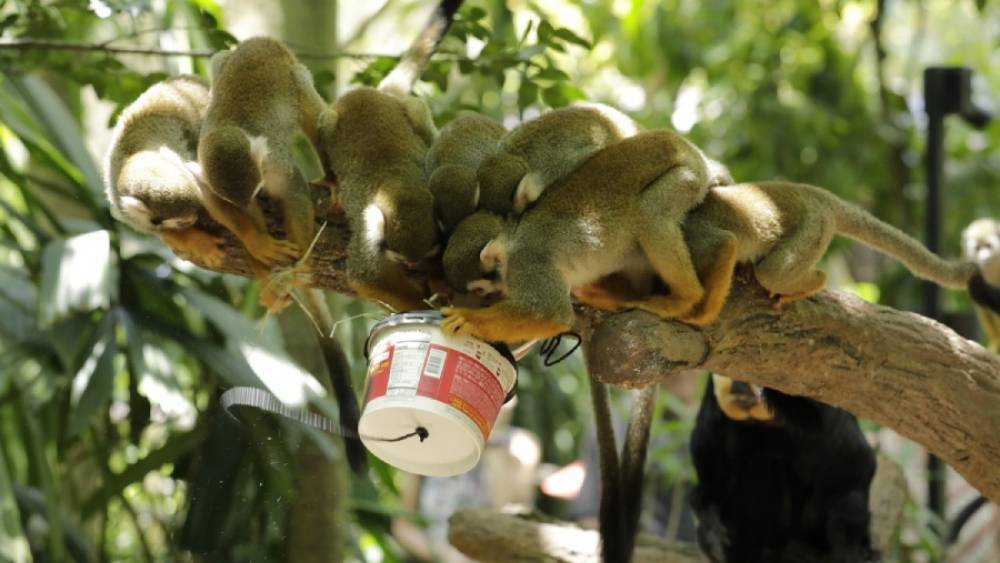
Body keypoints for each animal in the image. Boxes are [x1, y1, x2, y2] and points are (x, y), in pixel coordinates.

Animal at [197, 36, 327, 268]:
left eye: (256, 191)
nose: (248, 206)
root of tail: (261, 41)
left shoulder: (273, 160)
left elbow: (293, 188)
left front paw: (303, 264)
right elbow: (211, 198)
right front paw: (256, 242)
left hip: (295, 74)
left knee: (310, 104)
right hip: (225, 60)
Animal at [316, 0, 464, 312]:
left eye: (425, 257)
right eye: (404, 260)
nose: (415, 266)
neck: (399, 182)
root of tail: (372, 92)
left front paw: (439, 282)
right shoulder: (368, 223)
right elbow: (367, 277)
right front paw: (423, 306)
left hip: (407, 110)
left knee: (416, 109)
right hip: (332, 119)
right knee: (325, 122)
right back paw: (332, 180)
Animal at [441, 129, 717, 343]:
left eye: (479, 290)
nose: (490, 296)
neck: (511, 237)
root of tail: (688, 148)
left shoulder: (528, 260)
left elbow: (549, 313)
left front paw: (468, 319)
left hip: (686, 174)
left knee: (651, 213)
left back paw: (684, 298)